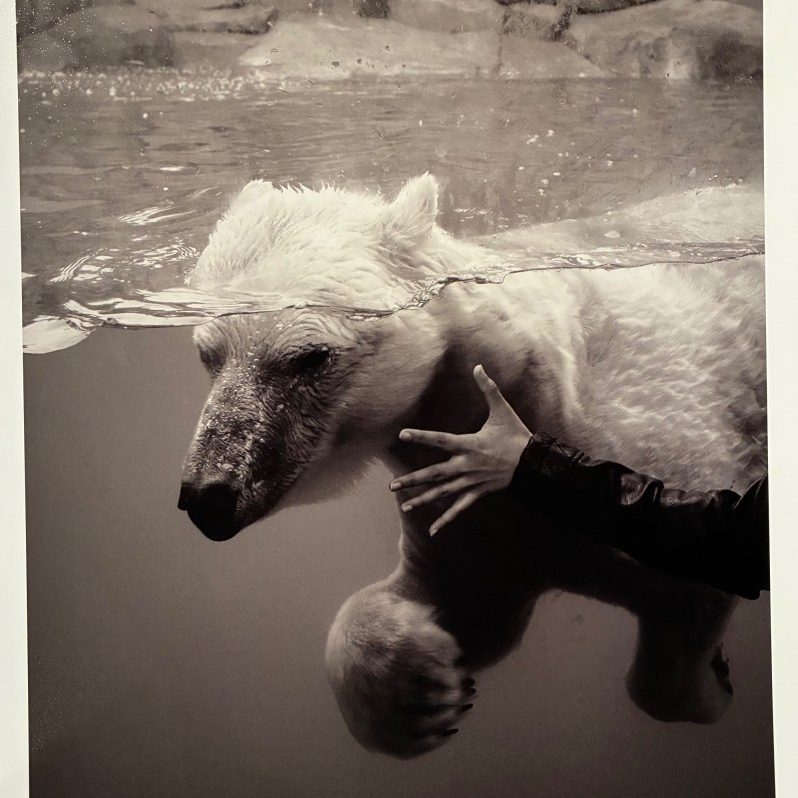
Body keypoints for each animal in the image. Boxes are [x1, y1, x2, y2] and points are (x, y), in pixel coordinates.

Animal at [178, 175, 766, 758]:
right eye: (207, 354)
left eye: (310, 356)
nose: (208, 495)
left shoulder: (656, 431)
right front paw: (425, 691)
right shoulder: (478, 529)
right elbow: (467, 606)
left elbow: (689, 596)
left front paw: (715, 679)